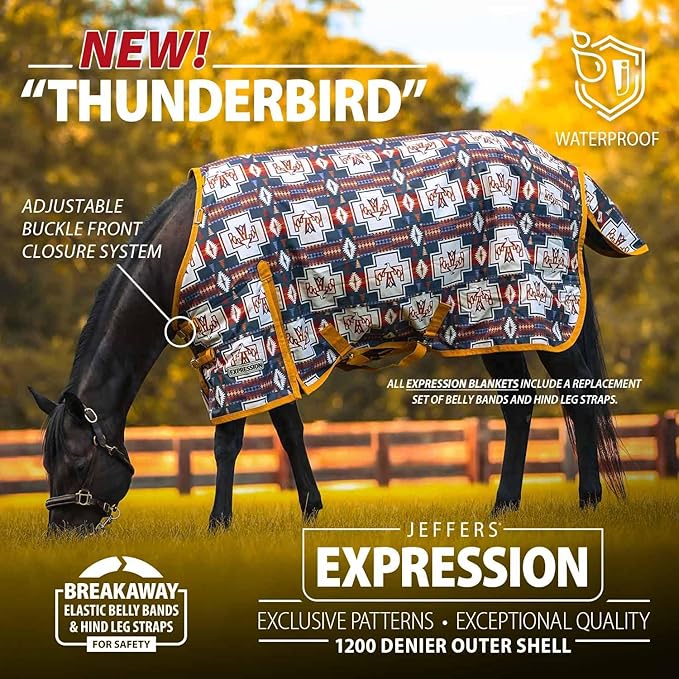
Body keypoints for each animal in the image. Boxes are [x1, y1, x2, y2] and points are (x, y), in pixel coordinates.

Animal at [29, 130, 645, 533]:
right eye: (46, 461)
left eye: (77, 462)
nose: (63, 533)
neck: (191, 245)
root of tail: (560, 167)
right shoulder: (273, 348)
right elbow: (290, 431)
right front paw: (311, 508)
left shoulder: (241, 343)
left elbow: (229, 442)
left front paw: (218, 522)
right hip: (493, 322)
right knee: (519, 407)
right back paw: (504, 506)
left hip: (542, 315)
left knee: (582, 398)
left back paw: (589, 500)